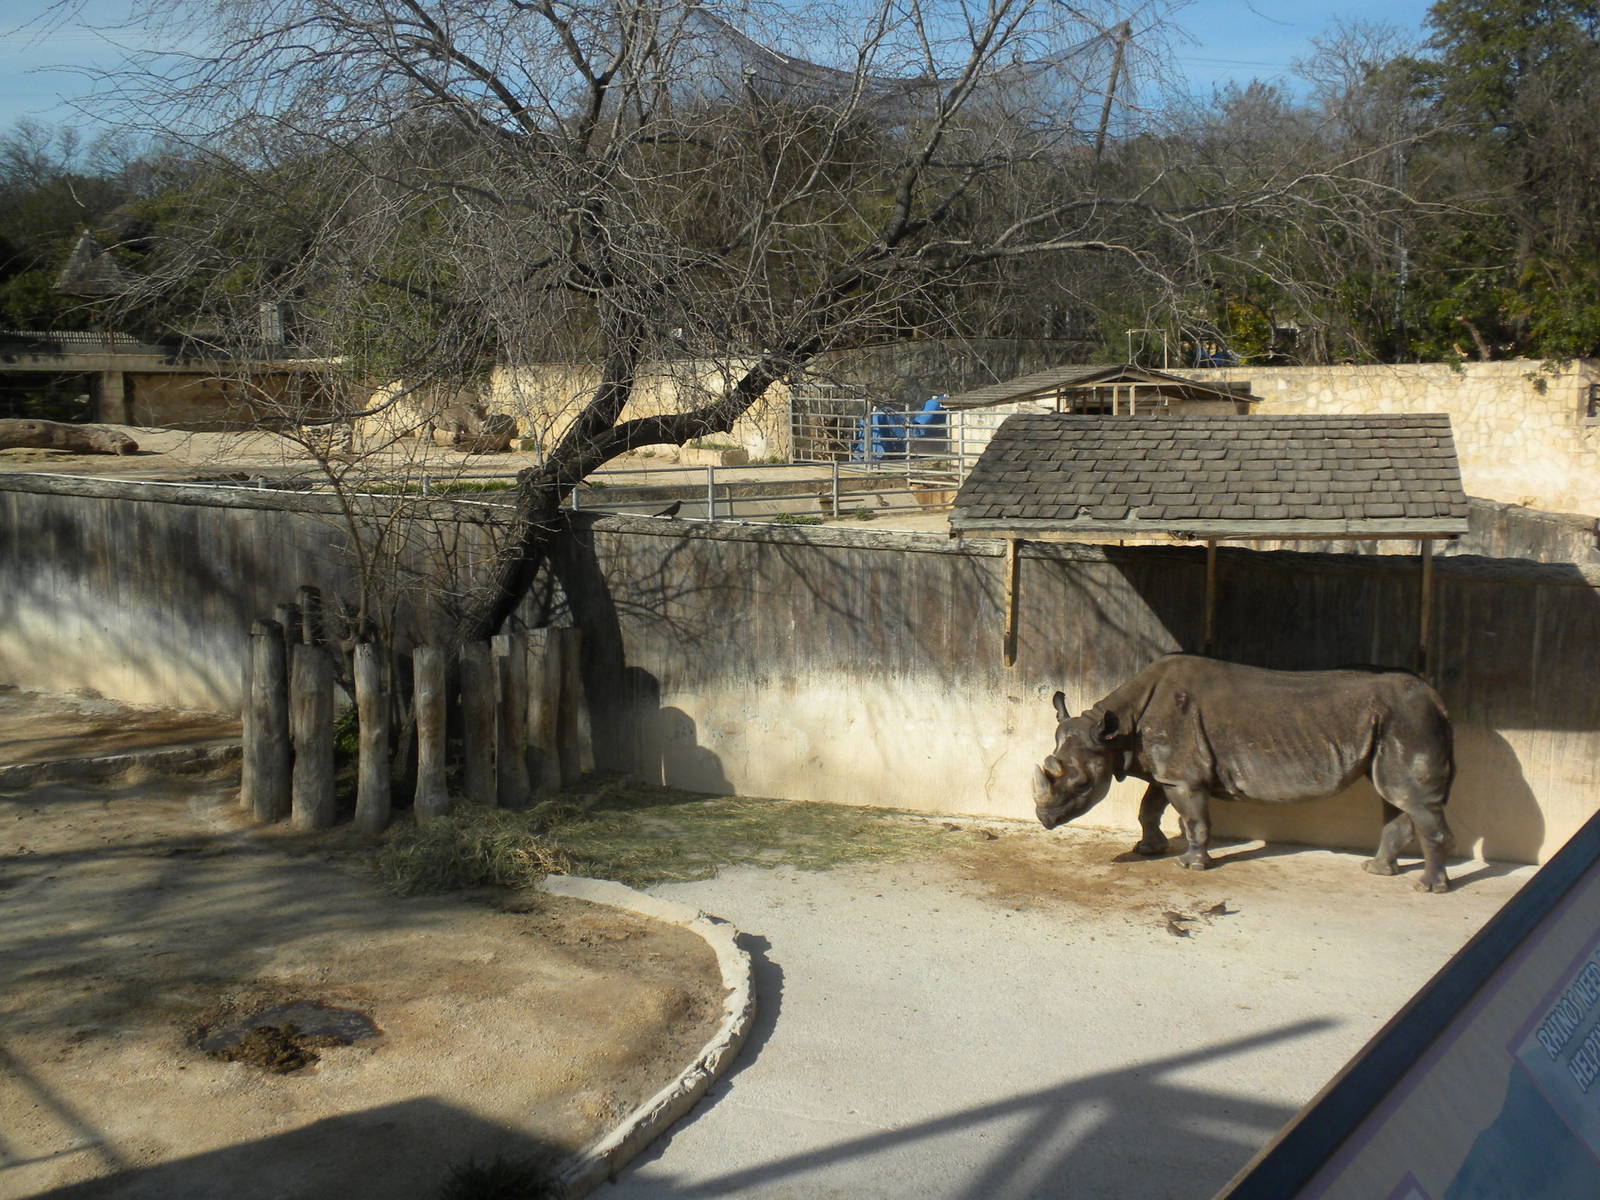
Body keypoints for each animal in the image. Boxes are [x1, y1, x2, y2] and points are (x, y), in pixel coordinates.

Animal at [1033, 655, 1456, 893]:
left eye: (1083, 784)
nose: (1044, 819)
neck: (1118, 728)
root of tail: (1436, 697)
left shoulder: (1184, 776)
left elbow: (1194, 820)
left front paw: (1191, 865)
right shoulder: (1165, 772)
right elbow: (1148, 809)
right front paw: (1148, 850)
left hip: (1407, 719)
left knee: (1409, 798)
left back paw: (1425, 888)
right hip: (1393, 721)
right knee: (1395, 795)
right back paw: (1379, 871)